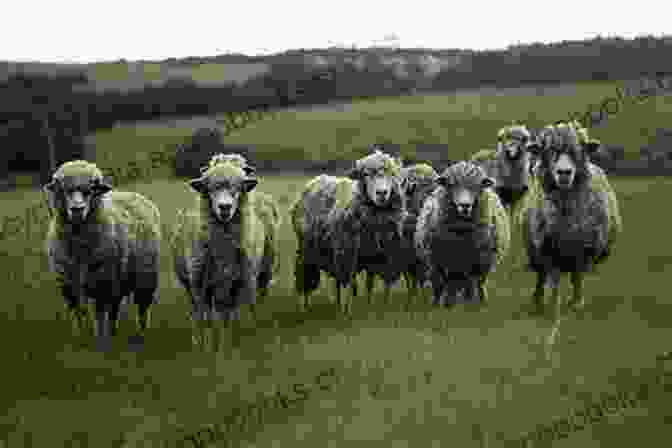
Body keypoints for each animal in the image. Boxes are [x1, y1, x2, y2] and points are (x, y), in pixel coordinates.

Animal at [43, 160, 161, 344]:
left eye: (91, 190)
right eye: (64, 189)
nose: (77, 209)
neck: (79, 247)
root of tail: (132, 194)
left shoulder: (101, 284)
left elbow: (98, 316)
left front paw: (100, 341)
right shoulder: (68, 285)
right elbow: (77, 313)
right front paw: (80, 338)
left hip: (145, 278)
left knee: (142, 308)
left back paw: (141, 334)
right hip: (118, 280)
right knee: (114, 309)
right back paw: (113, 332)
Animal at [172, 154, 282, 350]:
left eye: (238, 187)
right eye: (211, 188)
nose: (225, 207)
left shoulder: (239, 280)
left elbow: (230, 316)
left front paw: (230, 342)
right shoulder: (200, 282)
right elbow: (204, 318)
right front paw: (204, 345)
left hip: (264, 269)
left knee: (256, 298)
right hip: (191, 283)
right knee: (199, 309)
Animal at [288, 149, 404, 314]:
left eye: (392, 174)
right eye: (365, 174)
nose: (381, 193)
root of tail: (315, 181)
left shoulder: (383, 254)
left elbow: (372, 285)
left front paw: (375, 306)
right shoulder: (347, 254)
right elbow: (347, 285)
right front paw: (346, 311)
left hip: (330, 252)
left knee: (335, 281)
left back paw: (335, 303)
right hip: (307, 250)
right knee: (305, 277)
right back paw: (305, 306)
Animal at [414, 162, 510, 308]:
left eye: (477, 186)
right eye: (451, 185)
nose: (465, 205)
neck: (462, 237)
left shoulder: (475, 263)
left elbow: (470, 287)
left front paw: (468, 305)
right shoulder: (440, 262)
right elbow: (442, 287)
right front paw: (443, 305)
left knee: (477, 285)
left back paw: (479, 301)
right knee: (444, 286)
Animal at [516, 122, 624, 336]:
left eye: (577, 151)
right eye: (550, 151)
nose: (564, 172)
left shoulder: (583, 249)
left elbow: (577, 277)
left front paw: (576, 303)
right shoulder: (548, 249)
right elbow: (554, 280)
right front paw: (553, 303)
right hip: (535, 250)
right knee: (541, 276)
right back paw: (538, 300)